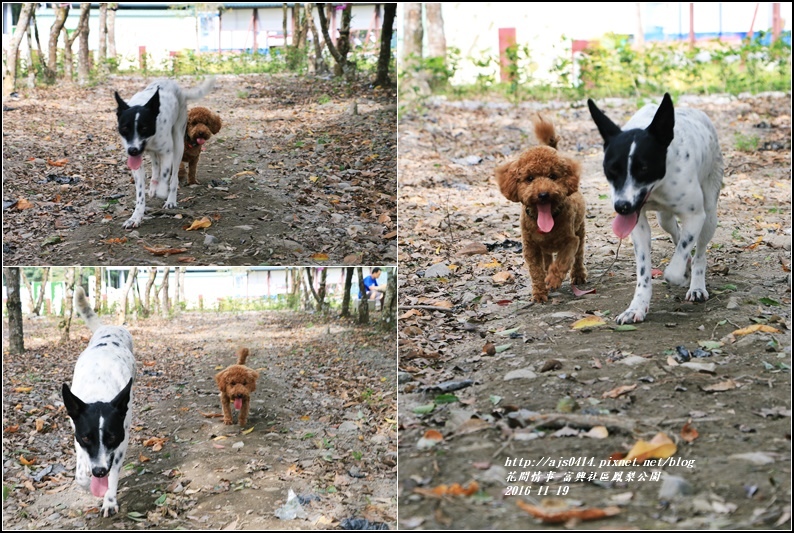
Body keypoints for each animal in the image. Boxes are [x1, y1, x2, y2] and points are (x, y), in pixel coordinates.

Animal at [61, 286, 135, 516]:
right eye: (86, 437)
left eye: (112, 437)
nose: (100, 471)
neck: (99, 392)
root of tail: (107, 328)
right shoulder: (76, 434)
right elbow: (81, 474)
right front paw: (87, 481)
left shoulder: (122, 438)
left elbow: (114, 471)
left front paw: (109, 499)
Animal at [113, 77, 213, 229]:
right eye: (125, 128)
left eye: (144, 128)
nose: (133, 150)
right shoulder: (137, 161)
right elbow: (140, 192)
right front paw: (135, 217)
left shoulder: (167, 153)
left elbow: (166, 176)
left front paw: (162, 192)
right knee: (155, 165)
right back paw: (153, 185)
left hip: (178, 143)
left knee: (174, 176)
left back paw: (170, 198)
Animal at [584, 93, 720, 322]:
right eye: (611, 170)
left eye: (644, 168)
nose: (622, 207)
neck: (658, 185)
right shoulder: (638, 224)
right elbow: (644, 271)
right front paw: (637, 307)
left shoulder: (695, 216)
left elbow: (675, 266)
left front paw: (680, 274)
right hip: (664, 219)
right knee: (676, 233)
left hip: (709, 213)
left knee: (700, 251)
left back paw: (696, 285)